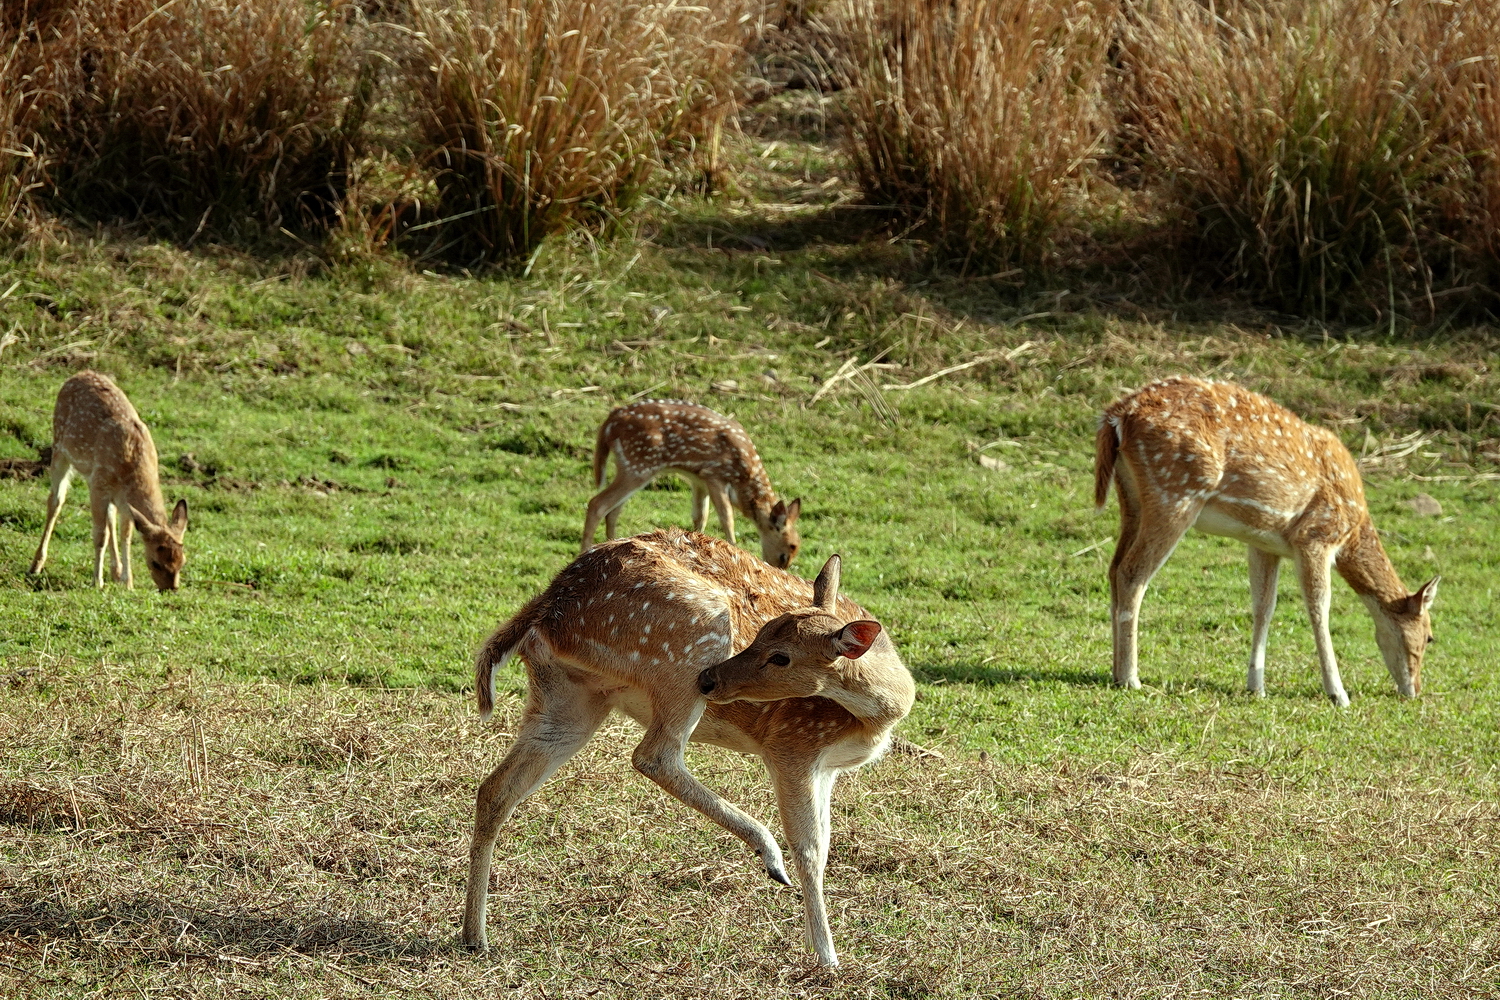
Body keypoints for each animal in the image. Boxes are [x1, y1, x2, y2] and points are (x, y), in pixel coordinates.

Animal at [28, 371, 189, 590]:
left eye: (182, 561)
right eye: (155, 562)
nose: (170, 588)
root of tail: (79, 373)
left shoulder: (119, 497)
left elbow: (125, 535)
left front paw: (128, 583)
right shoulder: (99, 485)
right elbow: (100, 535)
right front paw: (98, 581)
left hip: (94, 478)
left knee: (110, 516)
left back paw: (117, 571)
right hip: (60, 449)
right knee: (55, 501)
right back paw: (36, 565)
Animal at [465, 527, 912, 965]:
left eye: (780, 656)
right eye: (761, 632)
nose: (712, 679)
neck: (878, 717)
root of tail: (546, 607)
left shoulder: (828, 768)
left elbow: (825, 845)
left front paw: (813, 943)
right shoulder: (793, 744)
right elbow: (810, 850)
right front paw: (826, 956)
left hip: (569, 698)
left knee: (495, 789)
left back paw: (474, 936)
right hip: (690, 643)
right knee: (653, 755)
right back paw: (768, 853)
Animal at [579, 401, 804, 566]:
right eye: (789, 549)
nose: (779, 569)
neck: (743, 479)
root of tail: (611, 420)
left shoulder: (699, 480)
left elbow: (700, 517)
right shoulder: (714, 474)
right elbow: (727, 518)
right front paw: (733, 549)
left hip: (629, 465)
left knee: (613, 510)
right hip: (639, 464)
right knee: (597, 504)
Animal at [1098, 374, 1434, 704]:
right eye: (1430, 636)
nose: (1415, 690)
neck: (1353, 531)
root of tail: (1116, 416)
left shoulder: (1264, 543)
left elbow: (1264, 607)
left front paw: (1256, 686)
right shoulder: (1315, 536)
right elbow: (1319, 609)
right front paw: (1338, 693)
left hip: (1131, 498)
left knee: (1114, 569)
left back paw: (1114, 671)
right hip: (1175, 492)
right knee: (1132, 573)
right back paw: (1130, 677)